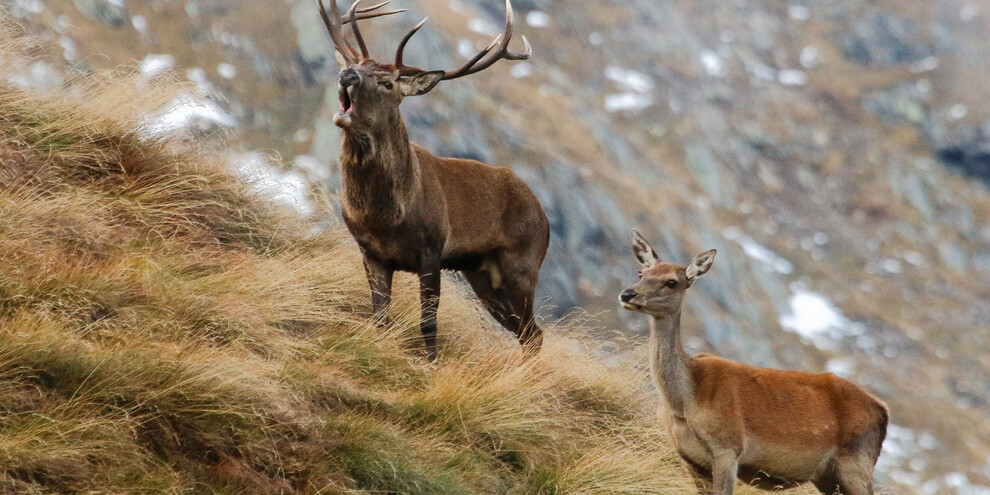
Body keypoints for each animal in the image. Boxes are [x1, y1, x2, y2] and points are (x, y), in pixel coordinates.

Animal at [620, 231, 892, 494]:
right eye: (641, 273)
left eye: (671, 282)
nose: (627, 293)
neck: (684, 401)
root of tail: (883, 411)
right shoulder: (690, 459)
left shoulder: (728, 448)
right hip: (828, 476)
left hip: (857, 462)